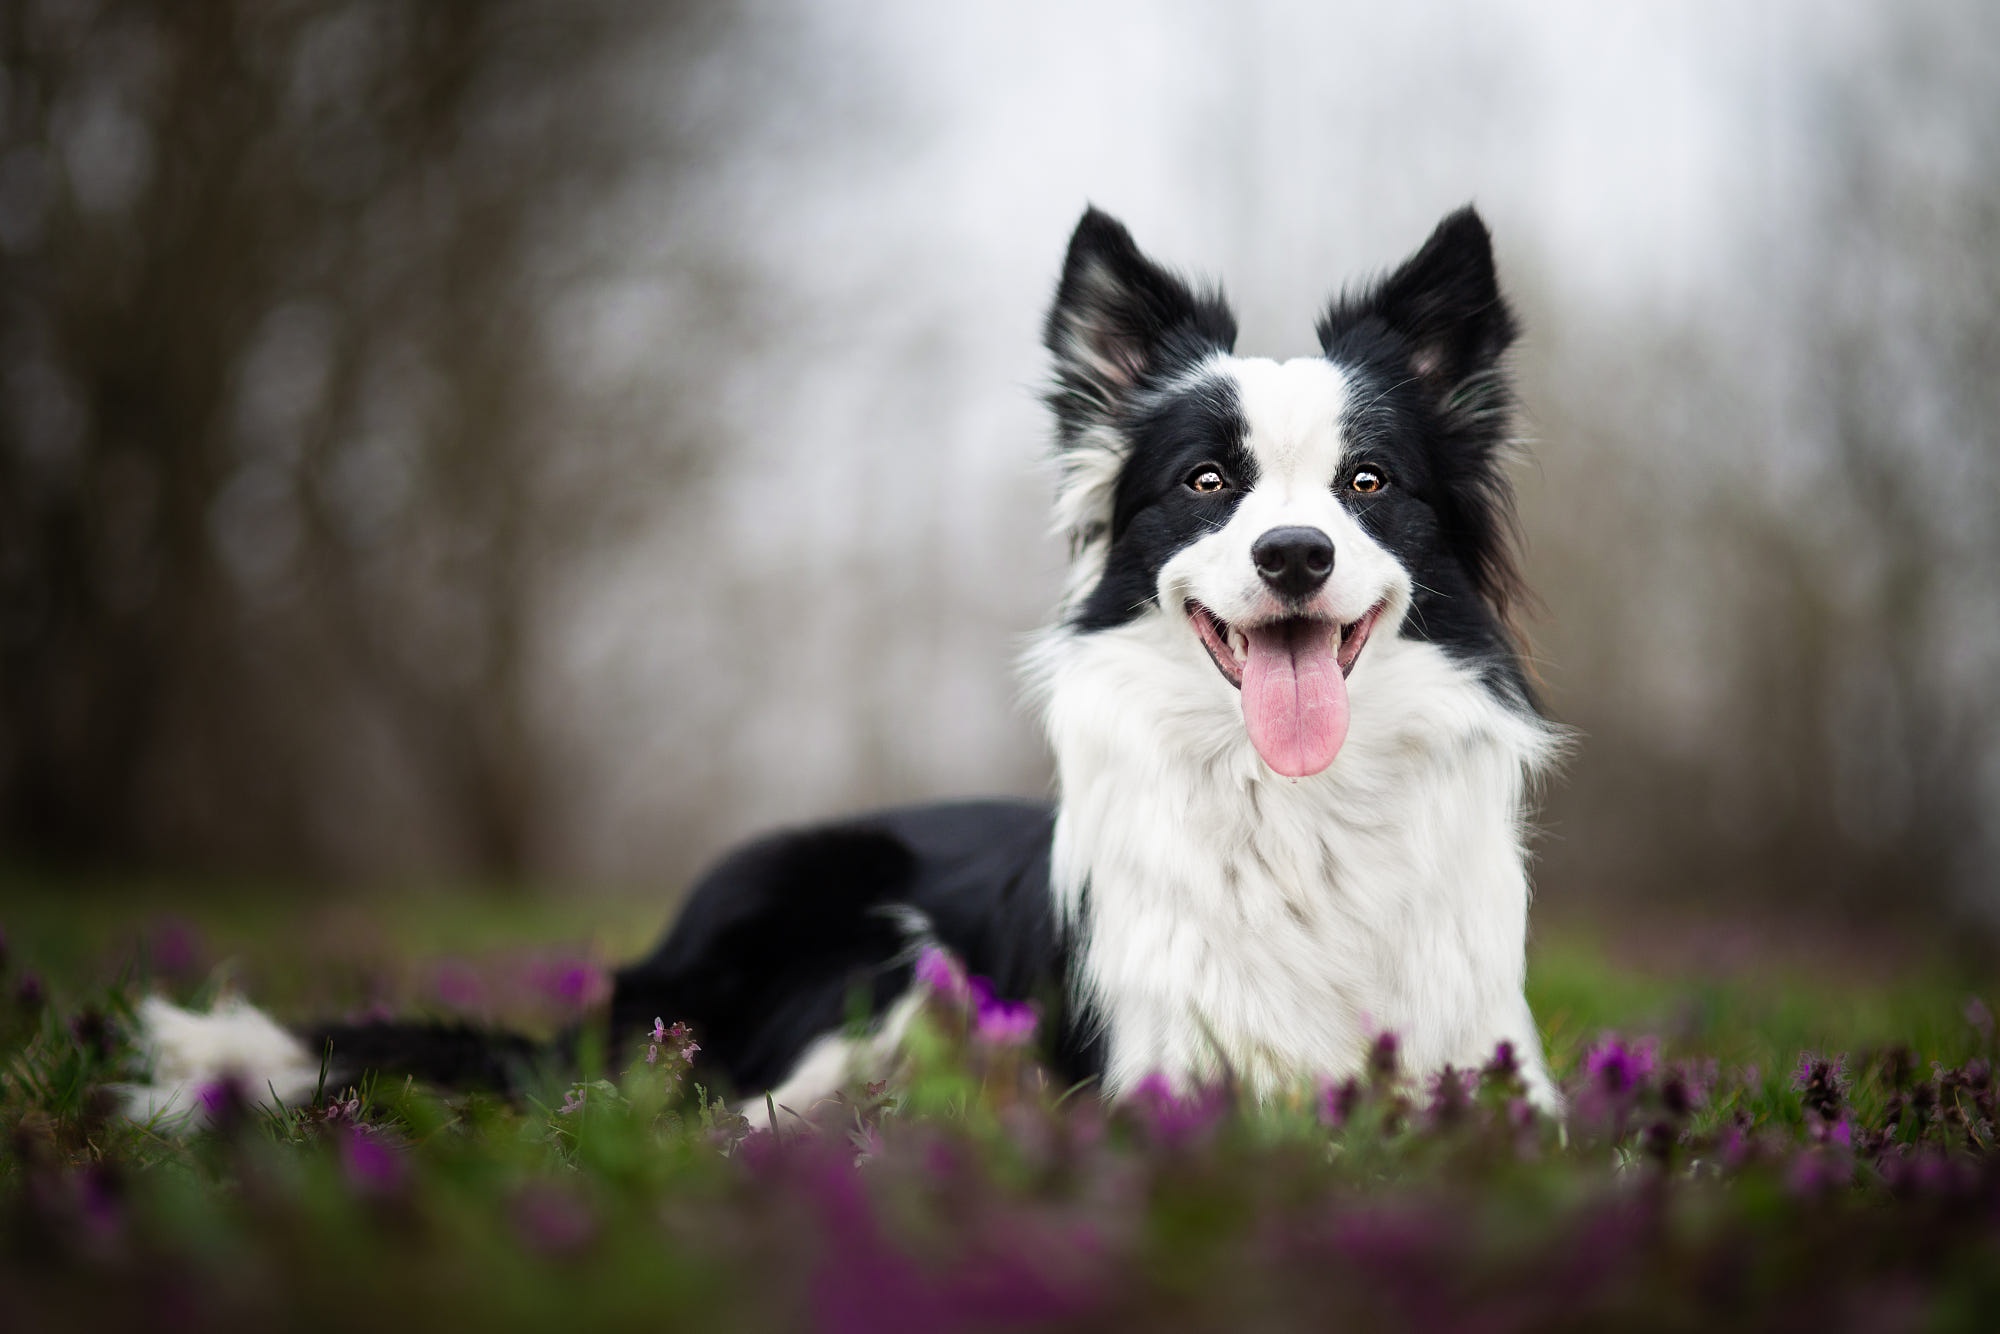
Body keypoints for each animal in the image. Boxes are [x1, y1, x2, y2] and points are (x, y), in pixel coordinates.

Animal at [129, 206, 1560, 1128]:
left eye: (1366, 483)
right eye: (1207, 482)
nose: (1293, 554)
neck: (1299, 807)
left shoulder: (1500, 1076)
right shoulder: (1157, 1076)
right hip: (846, 935)